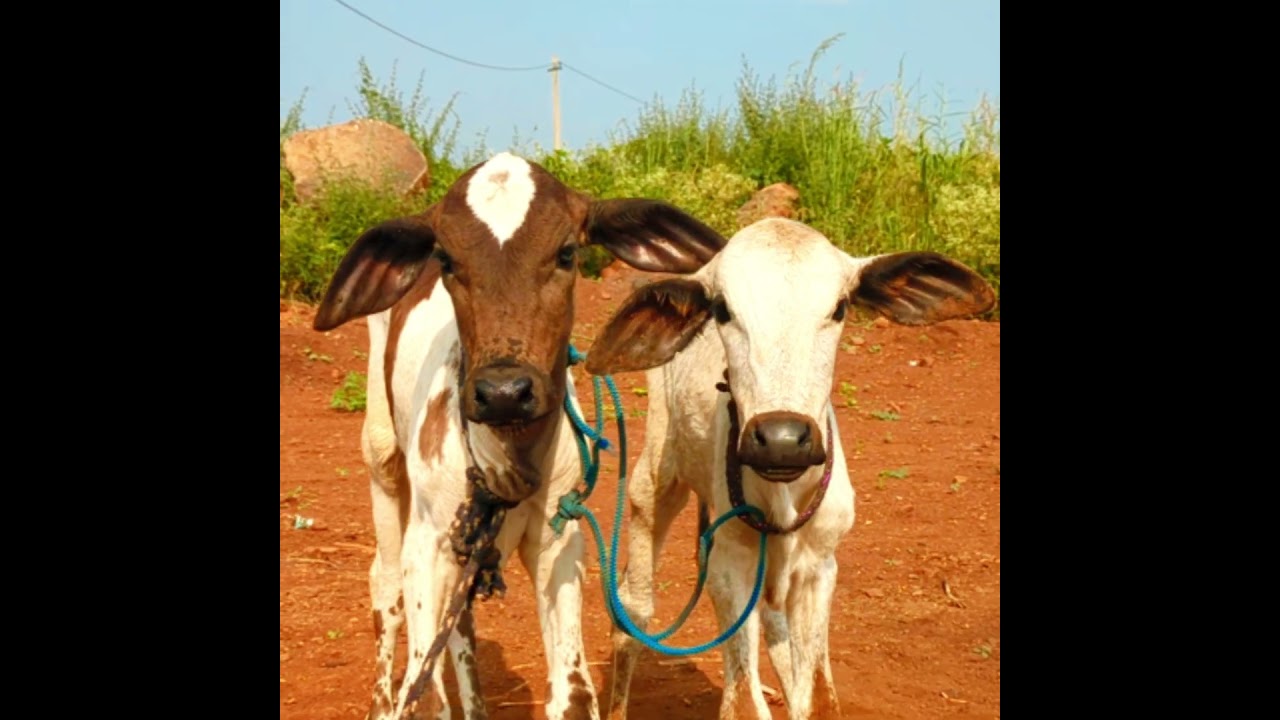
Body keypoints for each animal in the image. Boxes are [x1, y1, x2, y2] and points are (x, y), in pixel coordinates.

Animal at [310, 151, 728, 720]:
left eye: (567, 252)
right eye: (447, 260)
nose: (504, 392)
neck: (507, 462)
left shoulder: (557, 543)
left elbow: (572, 693)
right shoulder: (427, 542)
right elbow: (423, 685)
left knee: (459, 624)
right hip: (382, 459)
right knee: (387, 586)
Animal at [582, 217, 996, 719]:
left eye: (839, 308)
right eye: (722, 309)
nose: (781, 440)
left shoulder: (820, 568)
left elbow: (813, 690)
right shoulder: (730, 563)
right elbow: (742, 693)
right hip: (656, 480)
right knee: (634, 612)